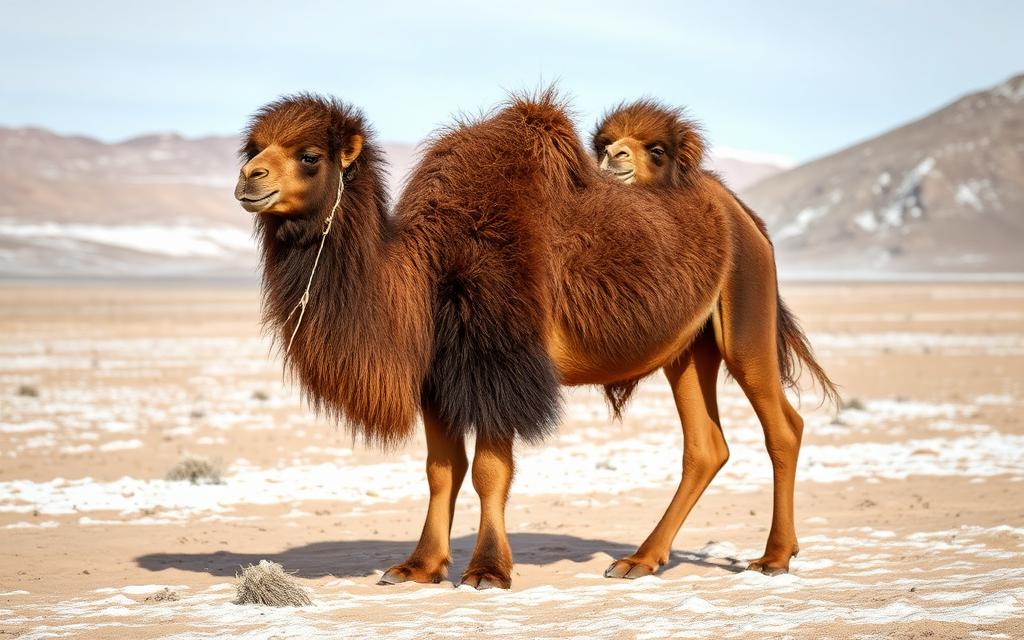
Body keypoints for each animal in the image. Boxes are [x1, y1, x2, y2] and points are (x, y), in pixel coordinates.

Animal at [234, 90, 836, 590]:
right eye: (255, 146)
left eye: (310, 155)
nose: (248, 178)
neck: (428, 270)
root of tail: (746, 217)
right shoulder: (440, 376)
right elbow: (440, 471)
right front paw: (417, 567)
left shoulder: (501, 364)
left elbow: (489, 472)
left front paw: (486, 572)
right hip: (688, 350)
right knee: (705, 444)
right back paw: (640, 560)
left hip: (746, 314)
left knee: (782, 426)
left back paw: (774, 557)